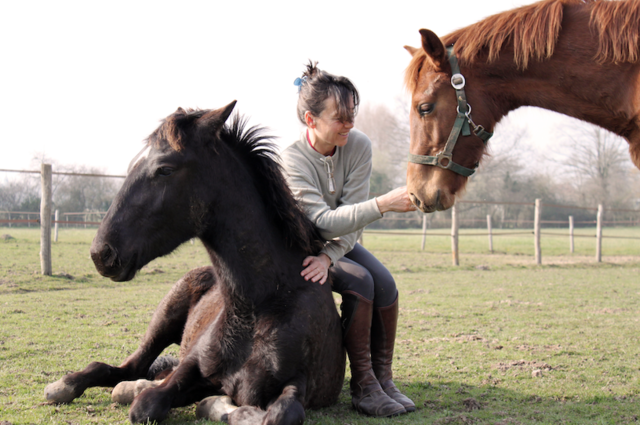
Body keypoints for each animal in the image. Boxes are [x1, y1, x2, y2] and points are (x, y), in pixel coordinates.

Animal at [45, 102, 344, 424]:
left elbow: (276, 414)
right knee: (128, 368)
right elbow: (147, 404)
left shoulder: (297, 382)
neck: (259, 307)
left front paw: (218, 405)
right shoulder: (194, 366)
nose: (101, 253)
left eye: (165, 169)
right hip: (164, 318)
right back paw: (66, 385)